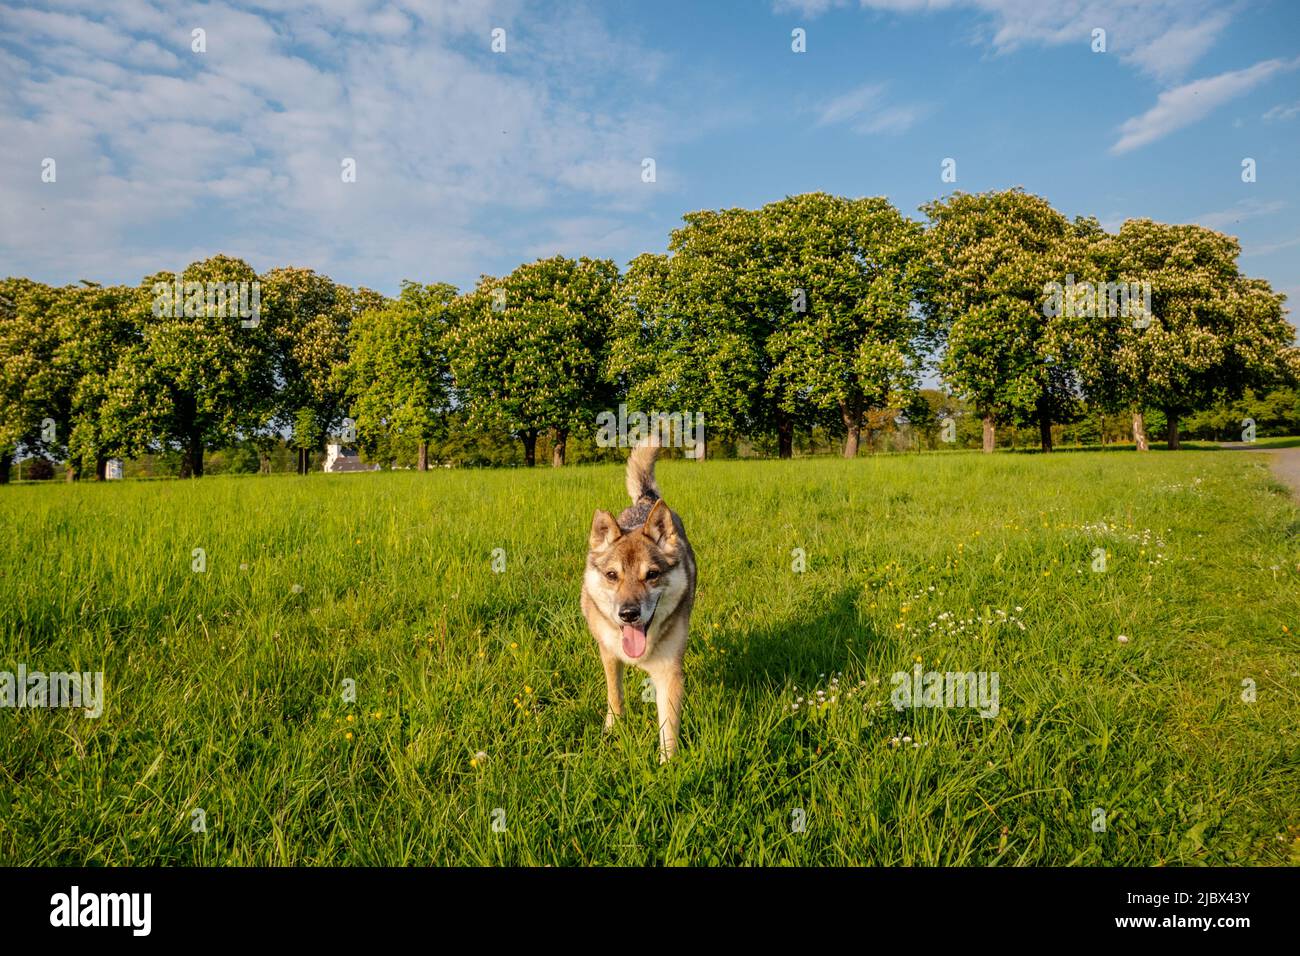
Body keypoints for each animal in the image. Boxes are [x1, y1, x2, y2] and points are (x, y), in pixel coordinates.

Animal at [582, 442, 696, 764]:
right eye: (612, 575)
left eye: (652, 575)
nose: (629, 614)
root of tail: (647, 500)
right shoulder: (608, 653)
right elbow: (615, 695)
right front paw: (612, 729)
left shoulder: (669, 673)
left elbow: (668, 727)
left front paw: (667, 768)